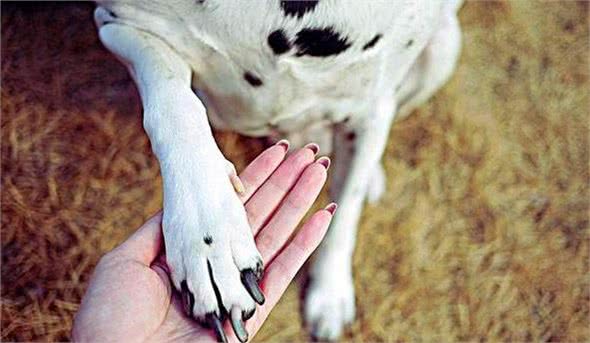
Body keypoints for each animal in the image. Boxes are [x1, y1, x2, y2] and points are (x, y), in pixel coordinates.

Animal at [93, 1, 462, 342]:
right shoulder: (120, 24)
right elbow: (174, 103)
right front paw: (208, 239)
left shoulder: (373, 104)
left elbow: (345, 213)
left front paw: (330, 293)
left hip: (444, 45)